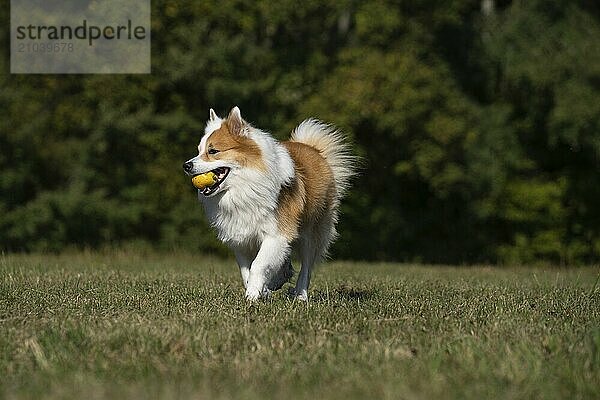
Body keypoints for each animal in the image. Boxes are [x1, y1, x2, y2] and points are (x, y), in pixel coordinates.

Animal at [180, 106, 354, 300]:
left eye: (213, 151)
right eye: (199, 150)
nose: (186, 165)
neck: (244, 185)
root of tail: (314, 150)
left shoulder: (276, 234)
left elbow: (259, 264)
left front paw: (252, 295)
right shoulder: (241, 239)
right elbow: (246, 271)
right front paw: (259, 290)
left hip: (311, 233)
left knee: (306, 268)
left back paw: (300, 295)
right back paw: (277, 282)